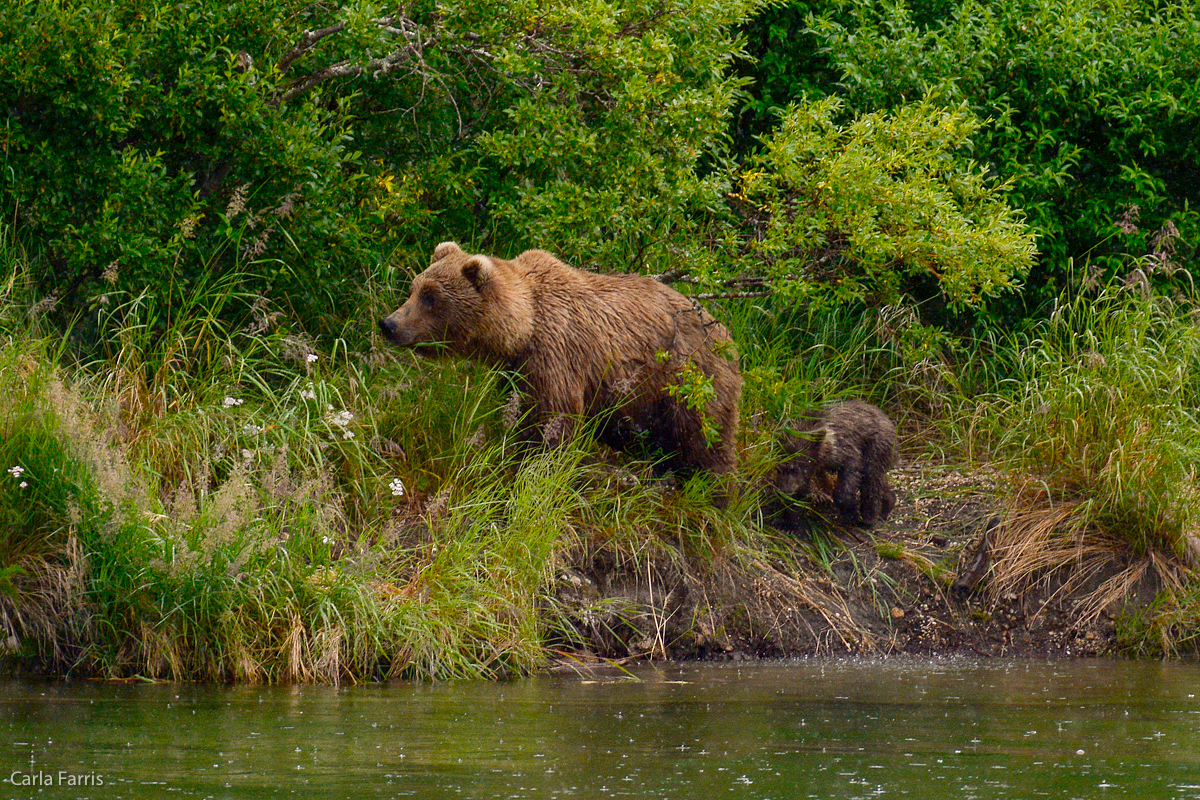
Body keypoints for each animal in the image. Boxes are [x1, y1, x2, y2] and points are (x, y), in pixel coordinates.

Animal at [381, 241, 739, 472]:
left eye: (431, 297)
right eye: (414, 288)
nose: (389, 324)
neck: (522, 328)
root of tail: (728, 335)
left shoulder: (556, 355)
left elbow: (553, 422)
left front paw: (533, 467)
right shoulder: (517, 370)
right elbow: (519, 410)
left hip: (691, 382)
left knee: (705, 444)